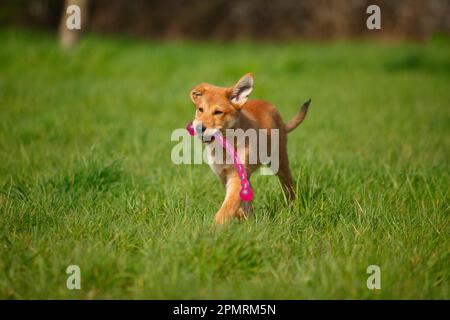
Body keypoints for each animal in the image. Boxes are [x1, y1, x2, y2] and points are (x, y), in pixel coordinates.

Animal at [190, 73, 310, 225]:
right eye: (200, 109)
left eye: (218, 112)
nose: (199, 128)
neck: (224, 149)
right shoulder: (223, 175)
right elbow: (237, 202)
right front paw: (243, 217)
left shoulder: (237, 175)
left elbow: (227, 207)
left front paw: (214, 227)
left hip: (280, 162)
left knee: (289, 186)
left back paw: (293, 207)